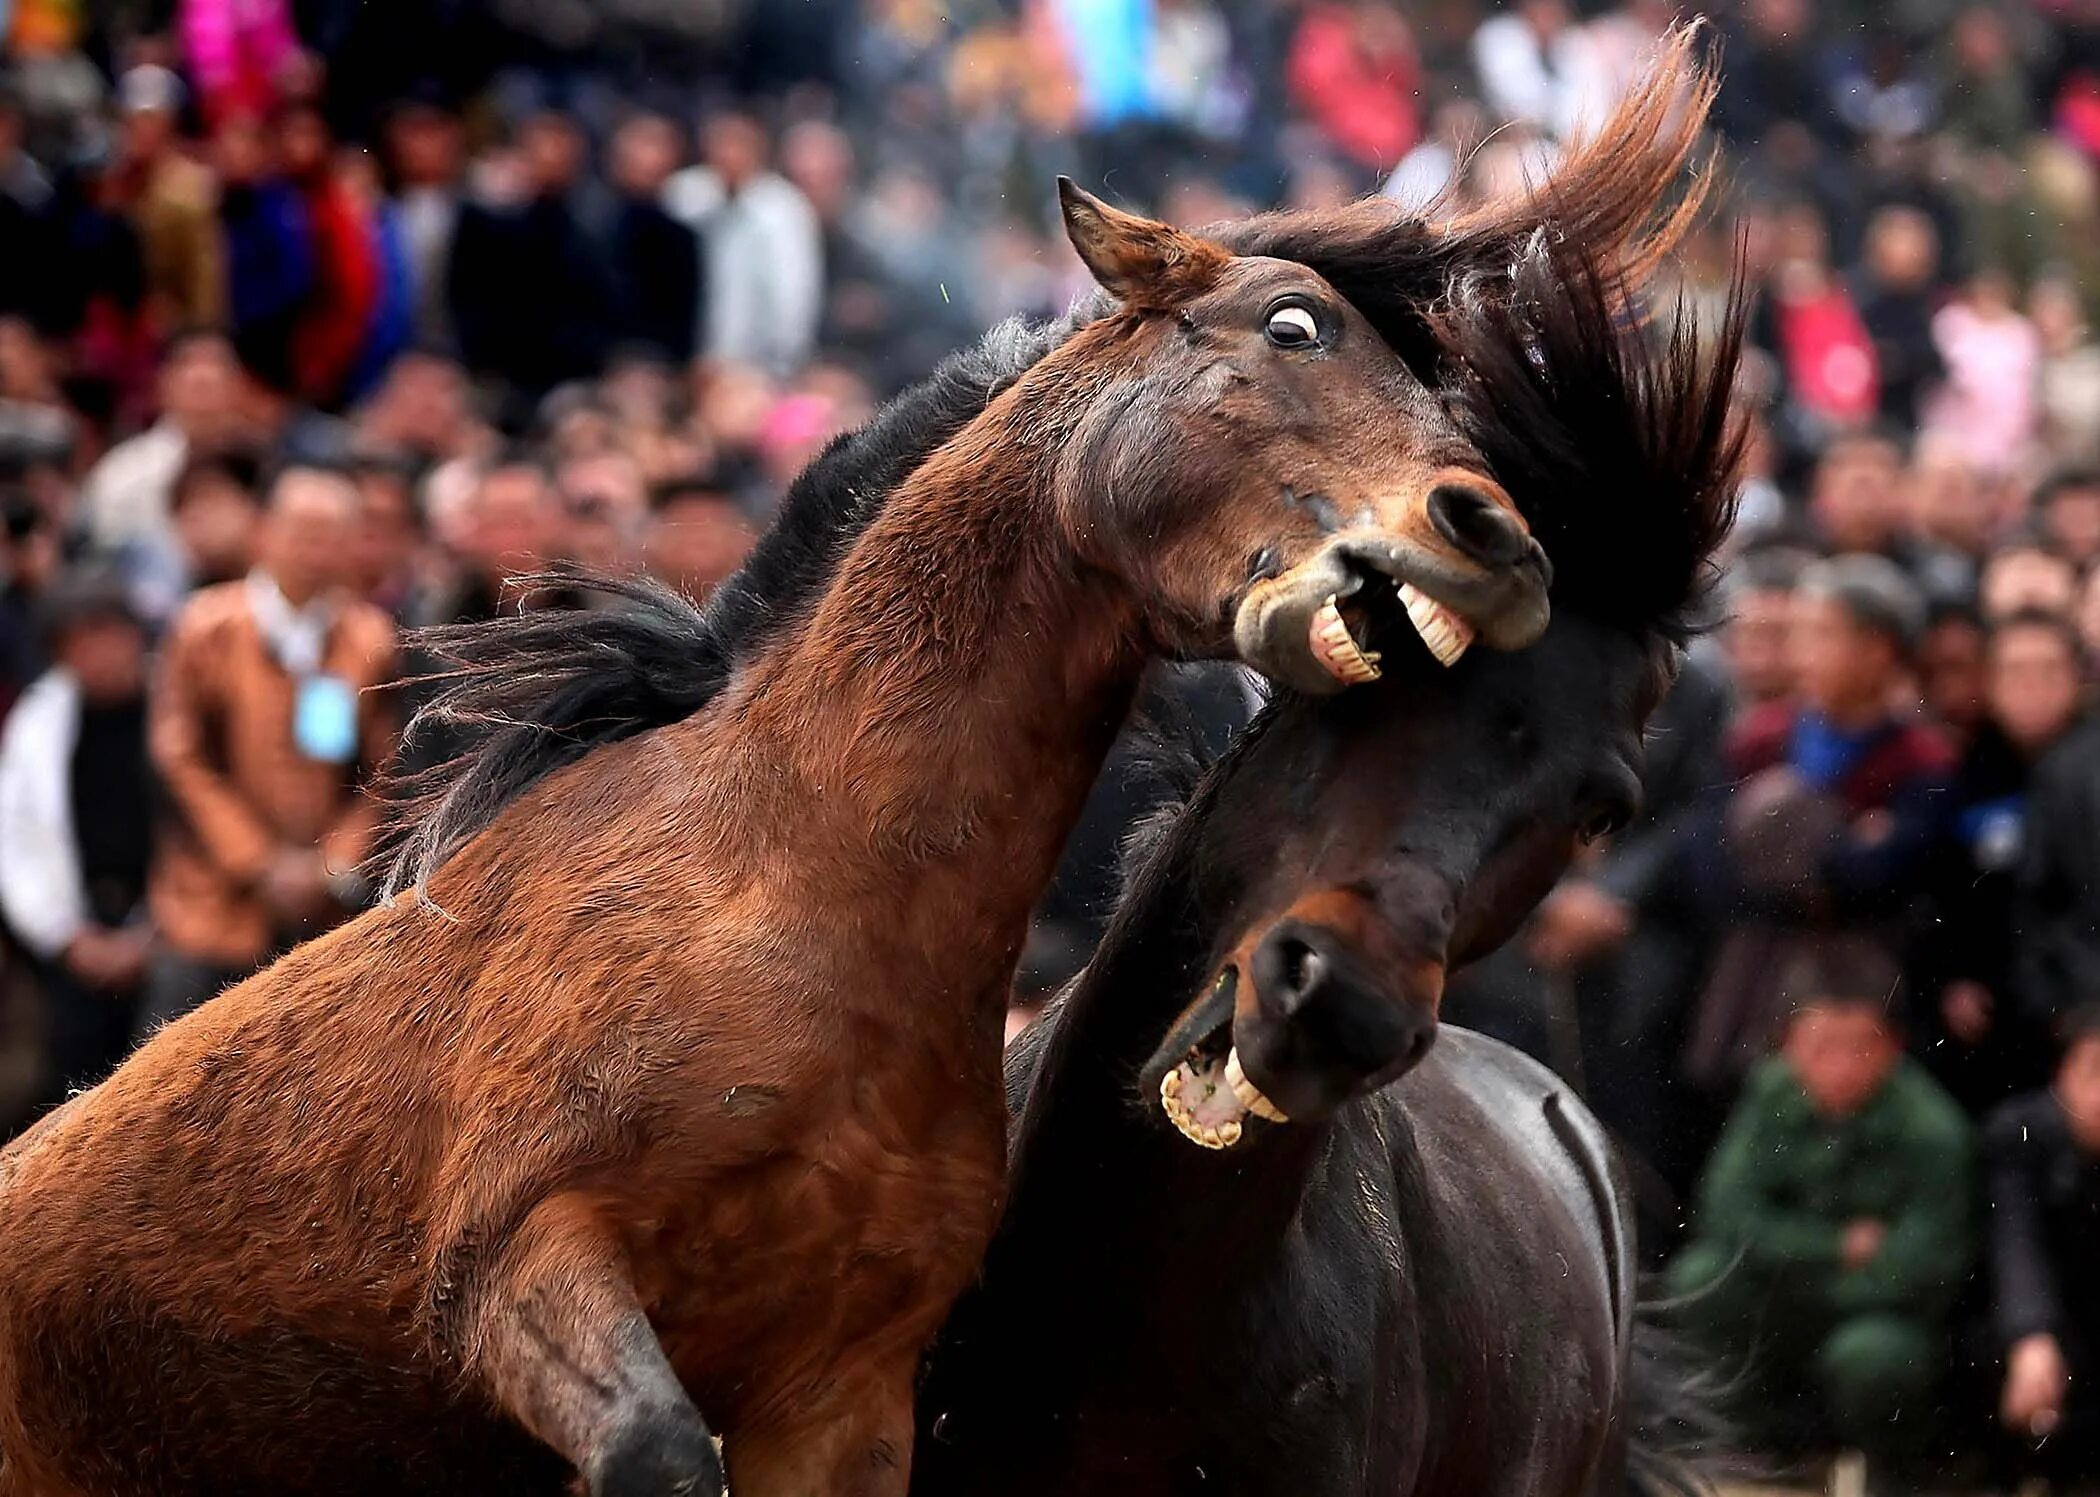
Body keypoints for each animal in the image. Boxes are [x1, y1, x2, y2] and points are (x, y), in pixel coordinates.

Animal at [0, 183, 1562, 1486]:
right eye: (1292, 324)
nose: (1496, 536)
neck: (798, 893)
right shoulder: (518, 1267)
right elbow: (655, 1453)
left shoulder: (841, 1386)